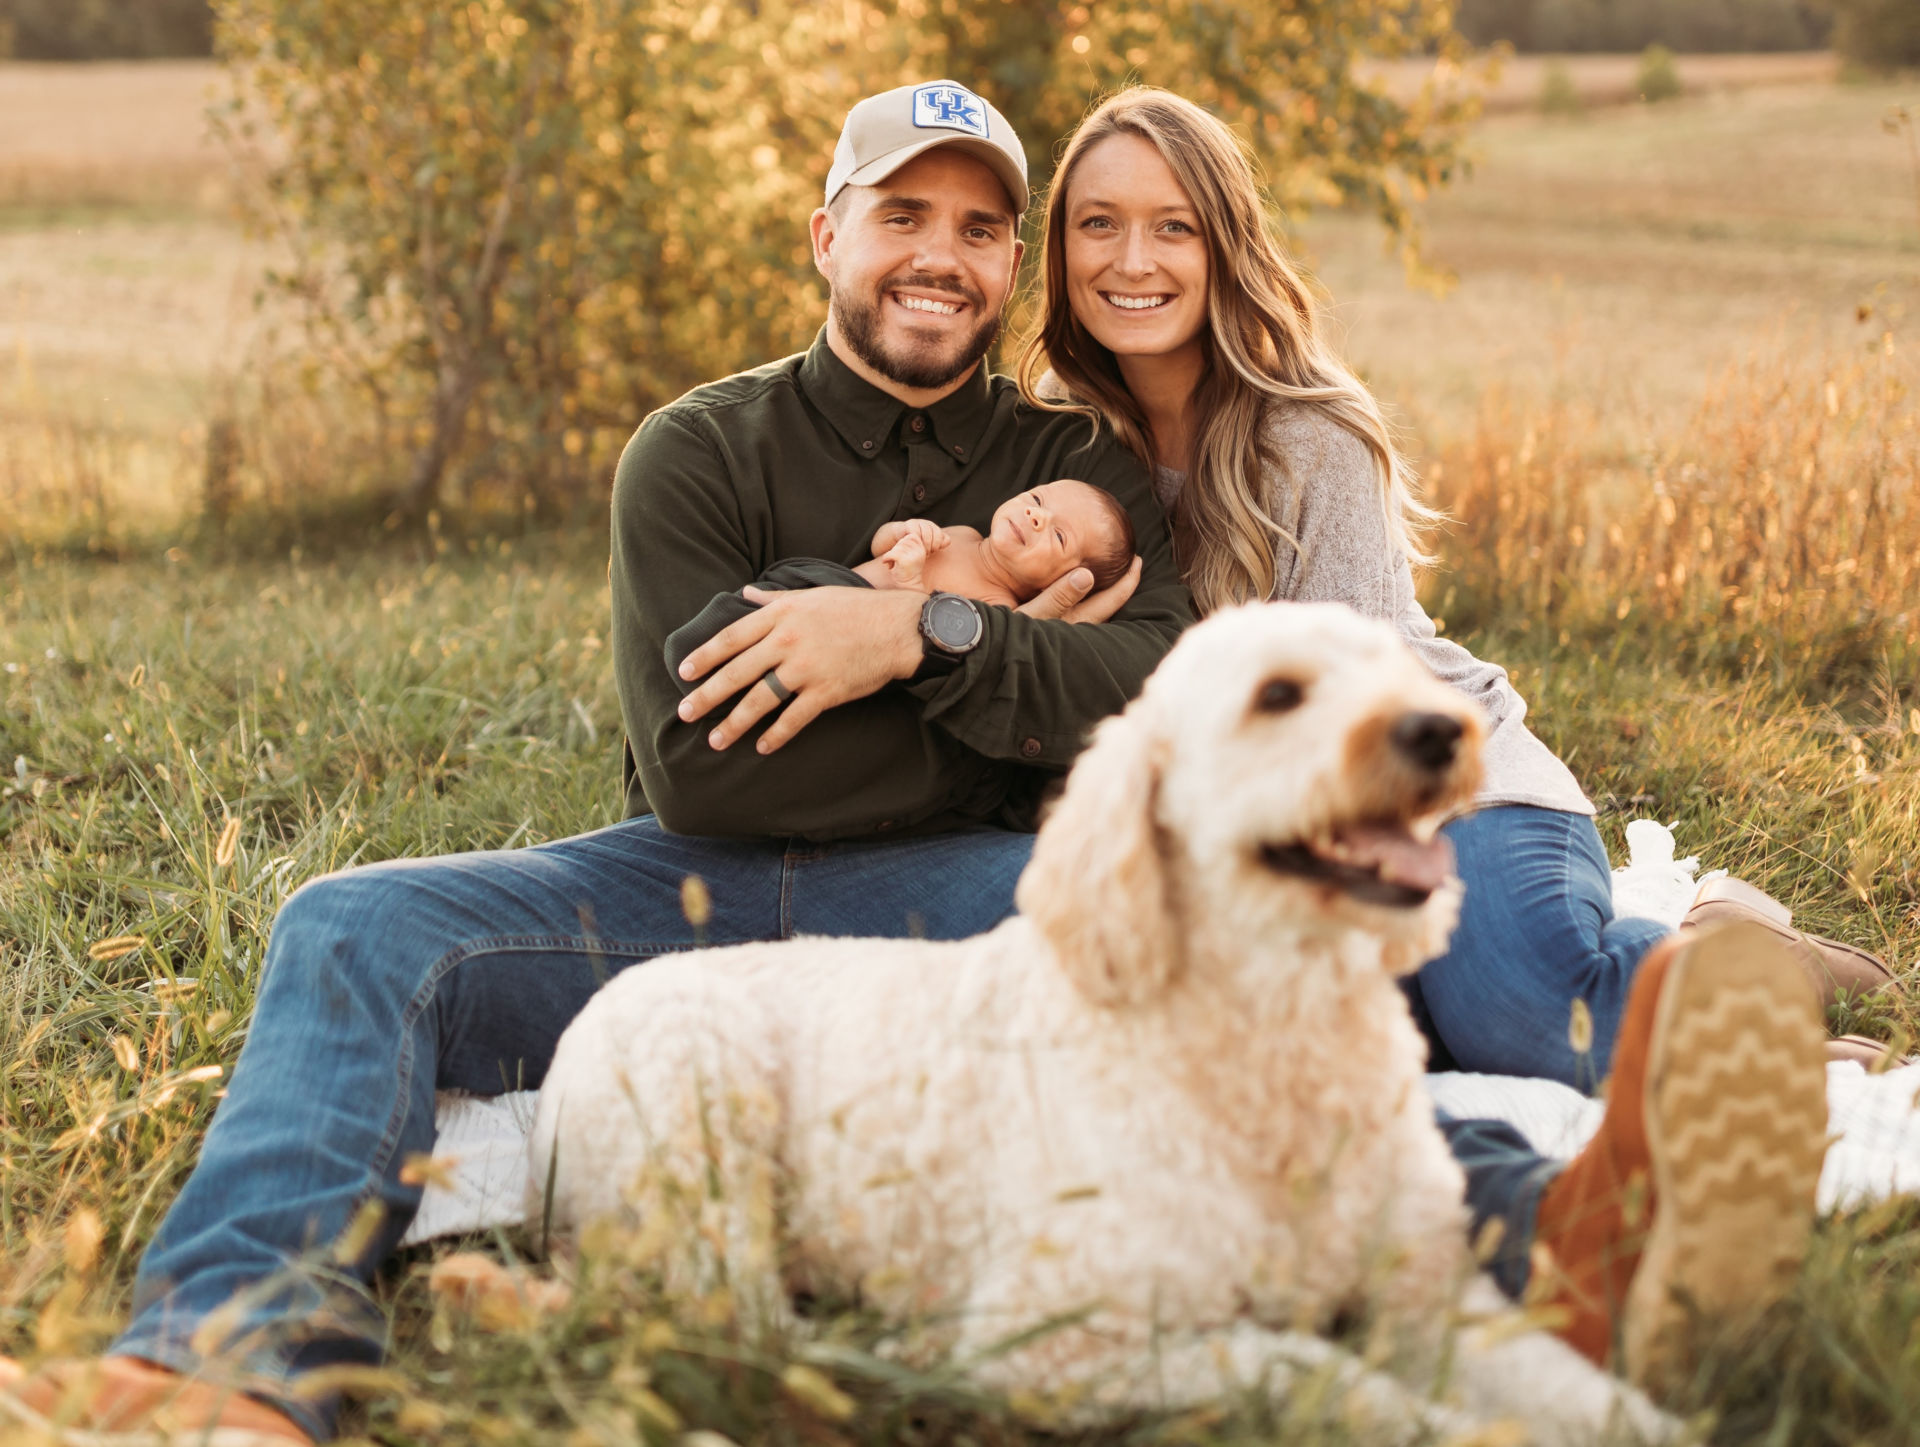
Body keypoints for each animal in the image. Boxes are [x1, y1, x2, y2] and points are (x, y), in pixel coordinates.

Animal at [533, 602, 1674, 1435]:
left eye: (1404, 673)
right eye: (1277, 694)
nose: (1442, 730)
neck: (1274, 1026)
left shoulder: (1432, 1293)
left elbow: (1571, 1384)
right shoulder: (1081, 1335)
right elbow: (1327, 1374)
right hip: (701, 1126)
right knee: (737, 1317)